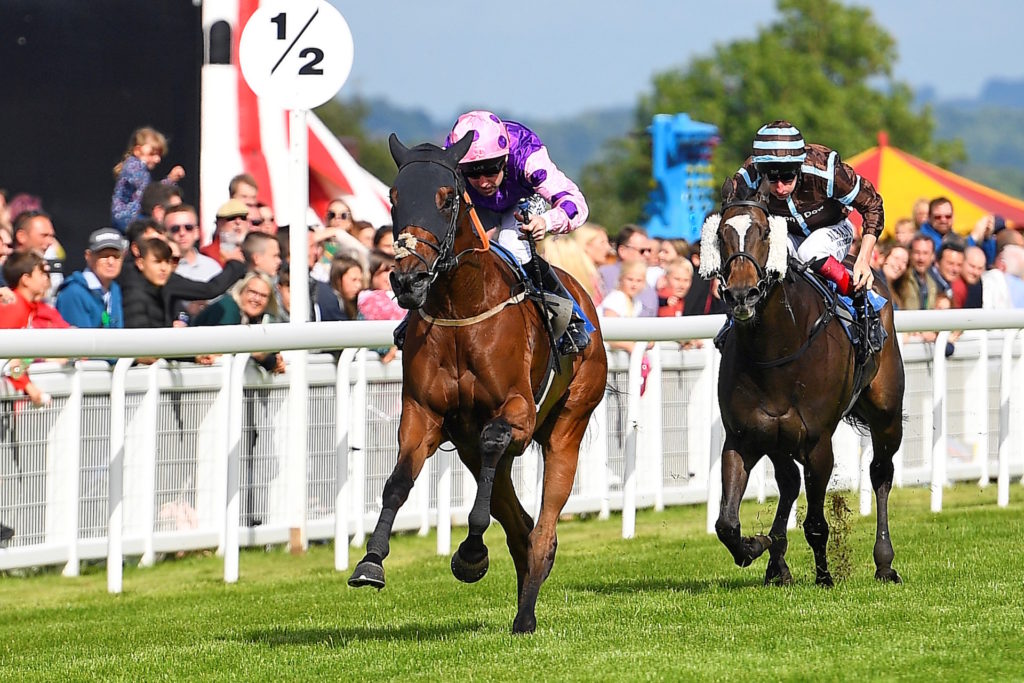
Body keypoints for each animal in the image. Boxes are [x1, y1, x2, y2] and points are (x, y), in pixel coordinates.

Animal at [350, 133, 606, 634]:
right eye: (393, 196)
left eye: (448, 199)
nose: (407, 279)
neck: (459, 310)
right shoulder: (423, 415)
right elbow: (397, 481)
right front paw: (370, 561)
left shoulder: (518, 415)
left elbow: (494, 441)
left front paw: (470, 553)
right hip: (469, 447)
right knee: (518, 524)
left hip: (568, 425)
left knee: (543, 527)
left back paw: (525, 613)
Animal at [700, 192, 909, 589]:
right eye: (720, 234)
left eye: (765, 232)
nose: (741, 294)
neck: (776, 350)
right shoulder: (743, 437)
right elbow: (726, 524)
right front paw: (759, 545)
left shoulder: (817, 443)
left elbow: (815, 523)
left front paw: (825, 576)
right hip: (777, 439)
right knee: (789, 482)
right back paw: (777, 562)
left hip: (887, 413)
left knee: (881, 473)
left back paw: (884, 562)